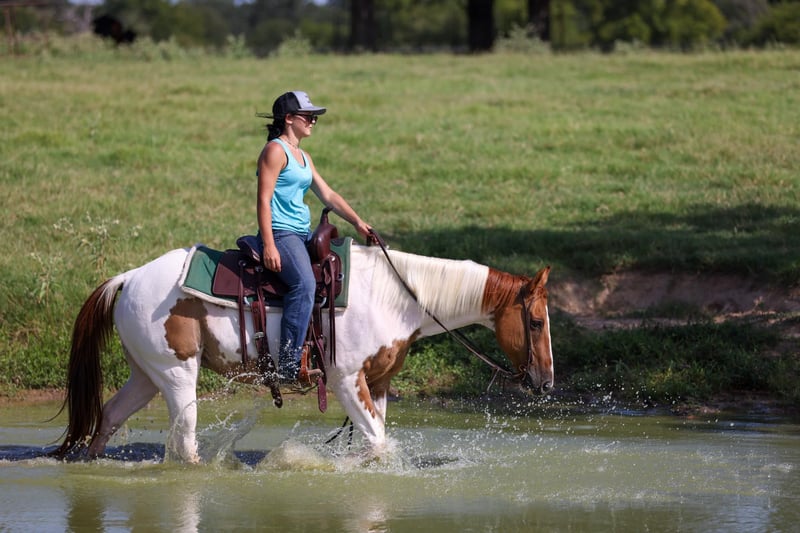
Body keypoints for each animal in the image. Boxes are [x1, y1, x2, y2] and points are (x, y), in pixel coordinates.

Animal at [53, 243, 553, 462]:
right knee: (185, 441)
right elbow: (377, 439)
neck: (398, 297)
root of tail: (130, 277)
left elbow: (375, 441)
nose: (546, 382)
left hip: (145, 374)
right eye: (535, 322)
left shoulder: (378, 382)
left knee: (110, 415)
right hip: (177, 376)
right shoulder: (347, 380)